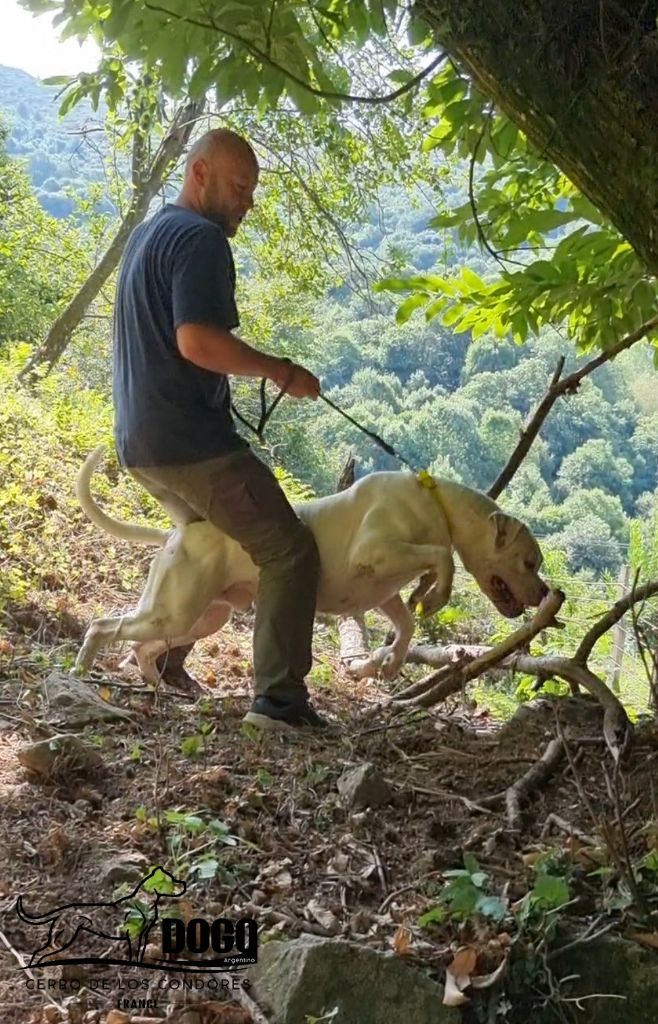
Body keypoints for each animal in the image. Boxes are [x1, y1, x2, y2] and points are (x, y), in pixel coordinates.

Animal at [72, 446, 548, 679]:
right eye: (529, 562)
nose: (546, 593)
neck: (438, 505)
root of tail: (177, 532)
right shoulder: (374, 553)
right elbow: (442, 556)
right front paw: (437, 594)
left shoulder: (383, 590)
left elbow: (407, 624)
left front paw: (388, 662)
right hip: (174, 610)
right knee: (103, 626)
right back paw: (81, 669)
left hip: (202, 617)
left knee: (141, 645)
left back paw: (153, 684)